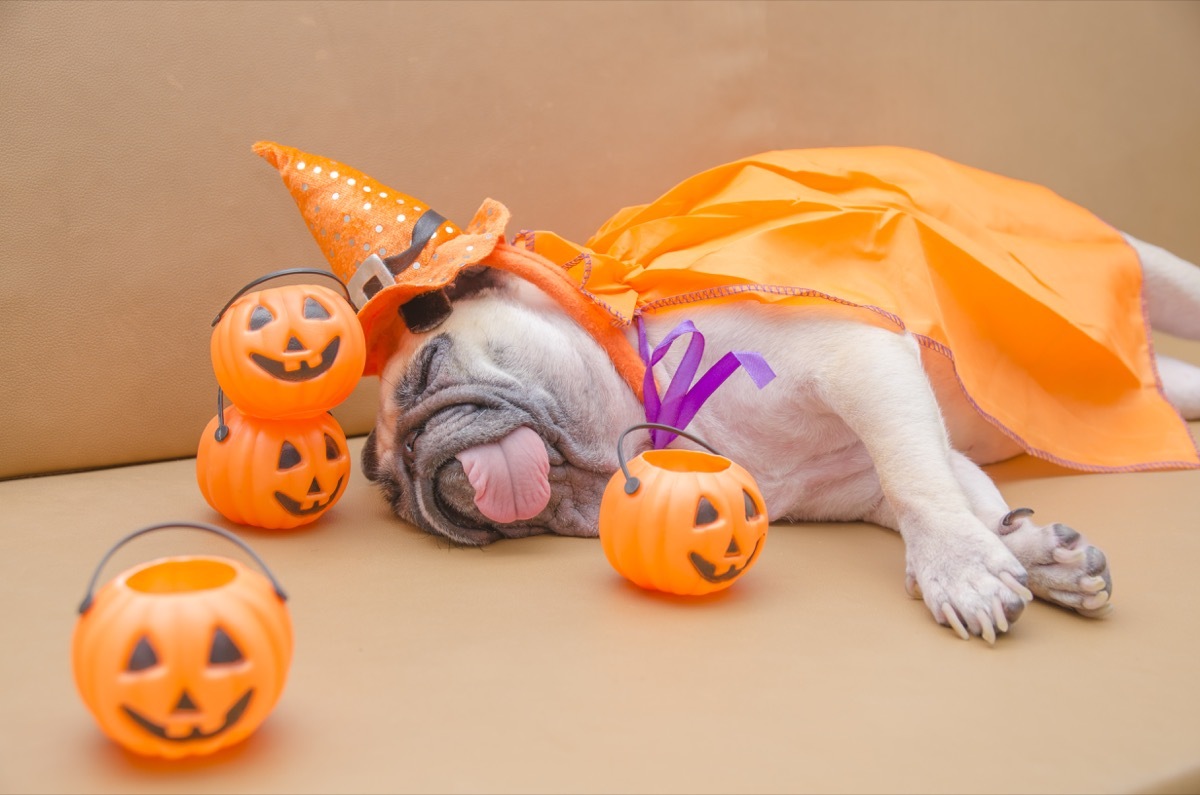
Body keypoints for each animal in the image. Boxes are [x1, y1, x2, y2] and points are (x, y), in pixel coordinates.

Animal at [357, 222, 1200, 643]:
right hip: (1166, 383)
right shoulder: (878, 468)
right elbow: (956, 495)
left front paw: (960, 569)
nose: (409, 458)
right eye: (390, 488)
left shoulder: (860, 358)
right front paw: (1032, 557)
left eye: (429, 364)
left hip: (1148, 270)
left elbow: (918, 483)